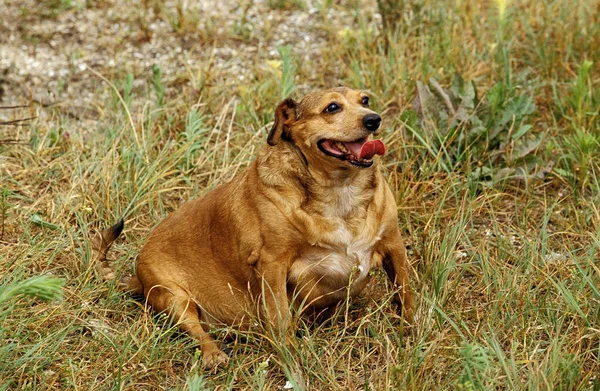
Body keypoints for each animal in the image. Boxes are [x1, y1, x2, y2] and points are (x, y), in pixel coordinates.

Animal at [96, 86, 414, 370]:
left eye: (365, 100)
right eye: (332, 107)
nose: (374, 119)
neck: (340, 191)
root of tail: (138, 275)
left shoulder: (394, 246)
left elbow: (405, 295)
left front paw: (410, 331)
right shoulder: (273, 265)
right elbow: (281, 317)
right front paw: (291, 358)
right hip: (174, 297)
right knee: (197, 331)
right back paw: (213, 354)